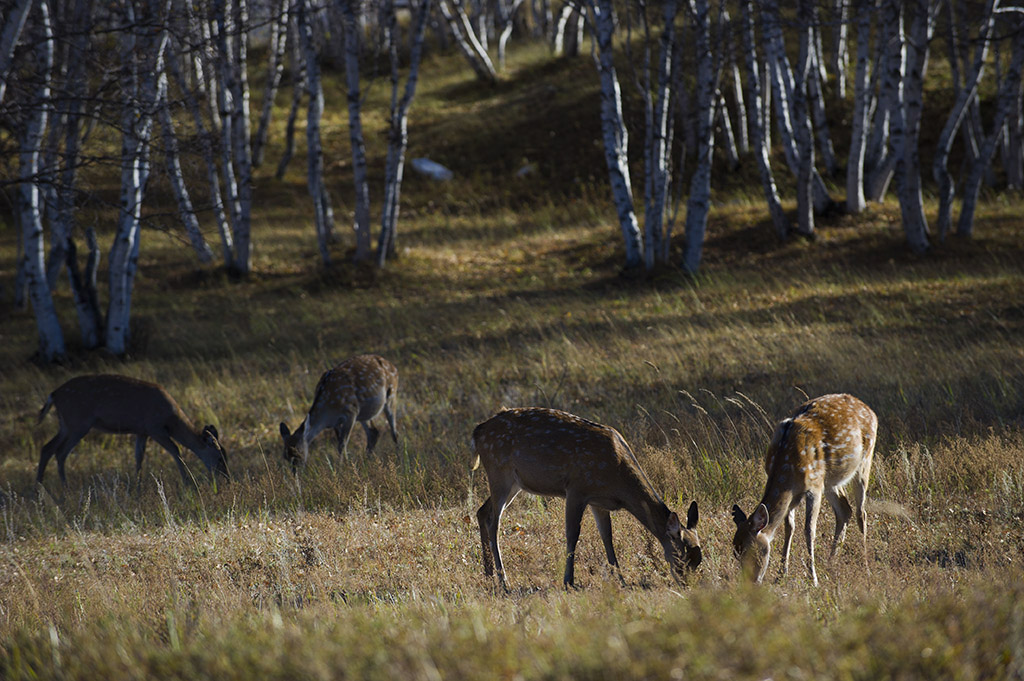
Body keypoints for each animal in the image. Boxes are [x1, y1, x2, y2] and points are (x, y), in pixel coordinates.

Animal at [37, 374, 229, 485]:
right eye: (220, 458)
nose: (227, 479)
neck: (171, 418)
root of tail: (53, 394)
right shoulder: (154, 427)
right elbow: (176, 450)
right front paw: (189, 484)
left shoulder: (141, 431)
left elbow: (139, 458)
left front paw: (136, 489)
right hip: (78, 423)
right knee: (60, 452)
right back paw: (63, 489)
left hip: (66, 424)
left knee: (47, 448)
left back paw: (39, 489)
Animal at [473, 403, 704, 589]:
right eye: (682, 557)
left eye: (699, 560)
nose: (687, 585)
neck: (618, 477)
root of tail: (478, 431)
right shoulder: (576, 489)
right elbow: (572, 534)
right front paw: (568, 581)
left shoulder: (598, 502)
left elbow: (607, 537)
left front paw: (621, 579)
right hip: (499, 471)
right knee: (494, 522)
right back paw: (503, 580)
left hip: (514, 483)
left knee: (482, 512)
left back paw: (488, 573)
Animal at [729, 391, 880, 585]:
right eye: (736, 553)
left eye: (752, 551)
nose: (750, 582)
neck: (788, 466)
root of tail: (870, 411)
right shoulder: (795, 493)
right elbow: (789, 527)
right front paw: (781, 574)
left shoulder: (814, 487)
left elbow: (809, 530)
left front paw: (813, 578)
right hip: (830, 480)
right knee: (845, 509)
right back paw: (830, 564)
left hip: (864, 461)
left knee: (861, 513)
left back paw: (866, 567)